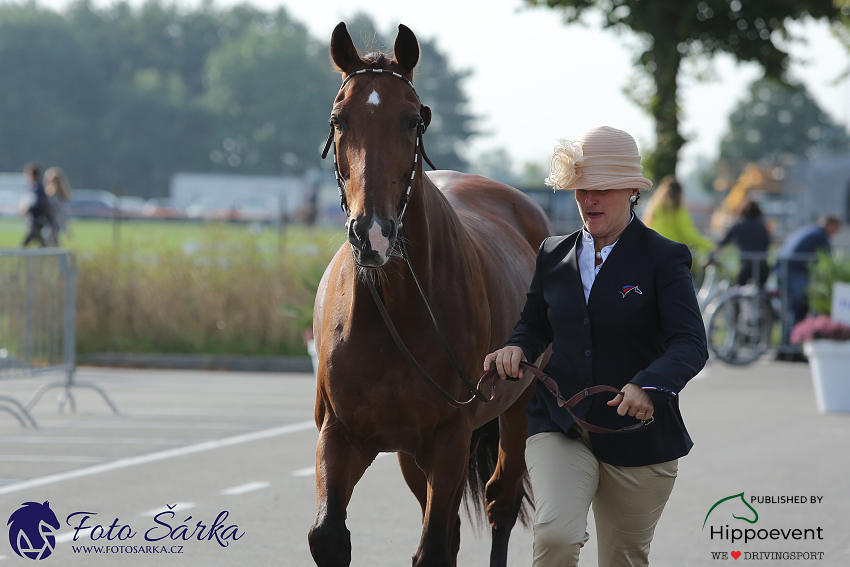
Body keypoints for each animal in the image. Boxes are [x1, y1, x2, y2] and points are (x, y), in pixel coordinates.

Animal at [308, 22, 552, 567]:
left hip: (518, 406)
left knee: (501, 502)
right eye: (337, 120)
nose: (373, 234)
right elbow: (328, 536)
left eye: (412, 121)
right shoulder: (341, 434)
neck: (394, 308)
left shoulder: (449, 439)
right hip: (409, 453)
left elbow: (436, 544)